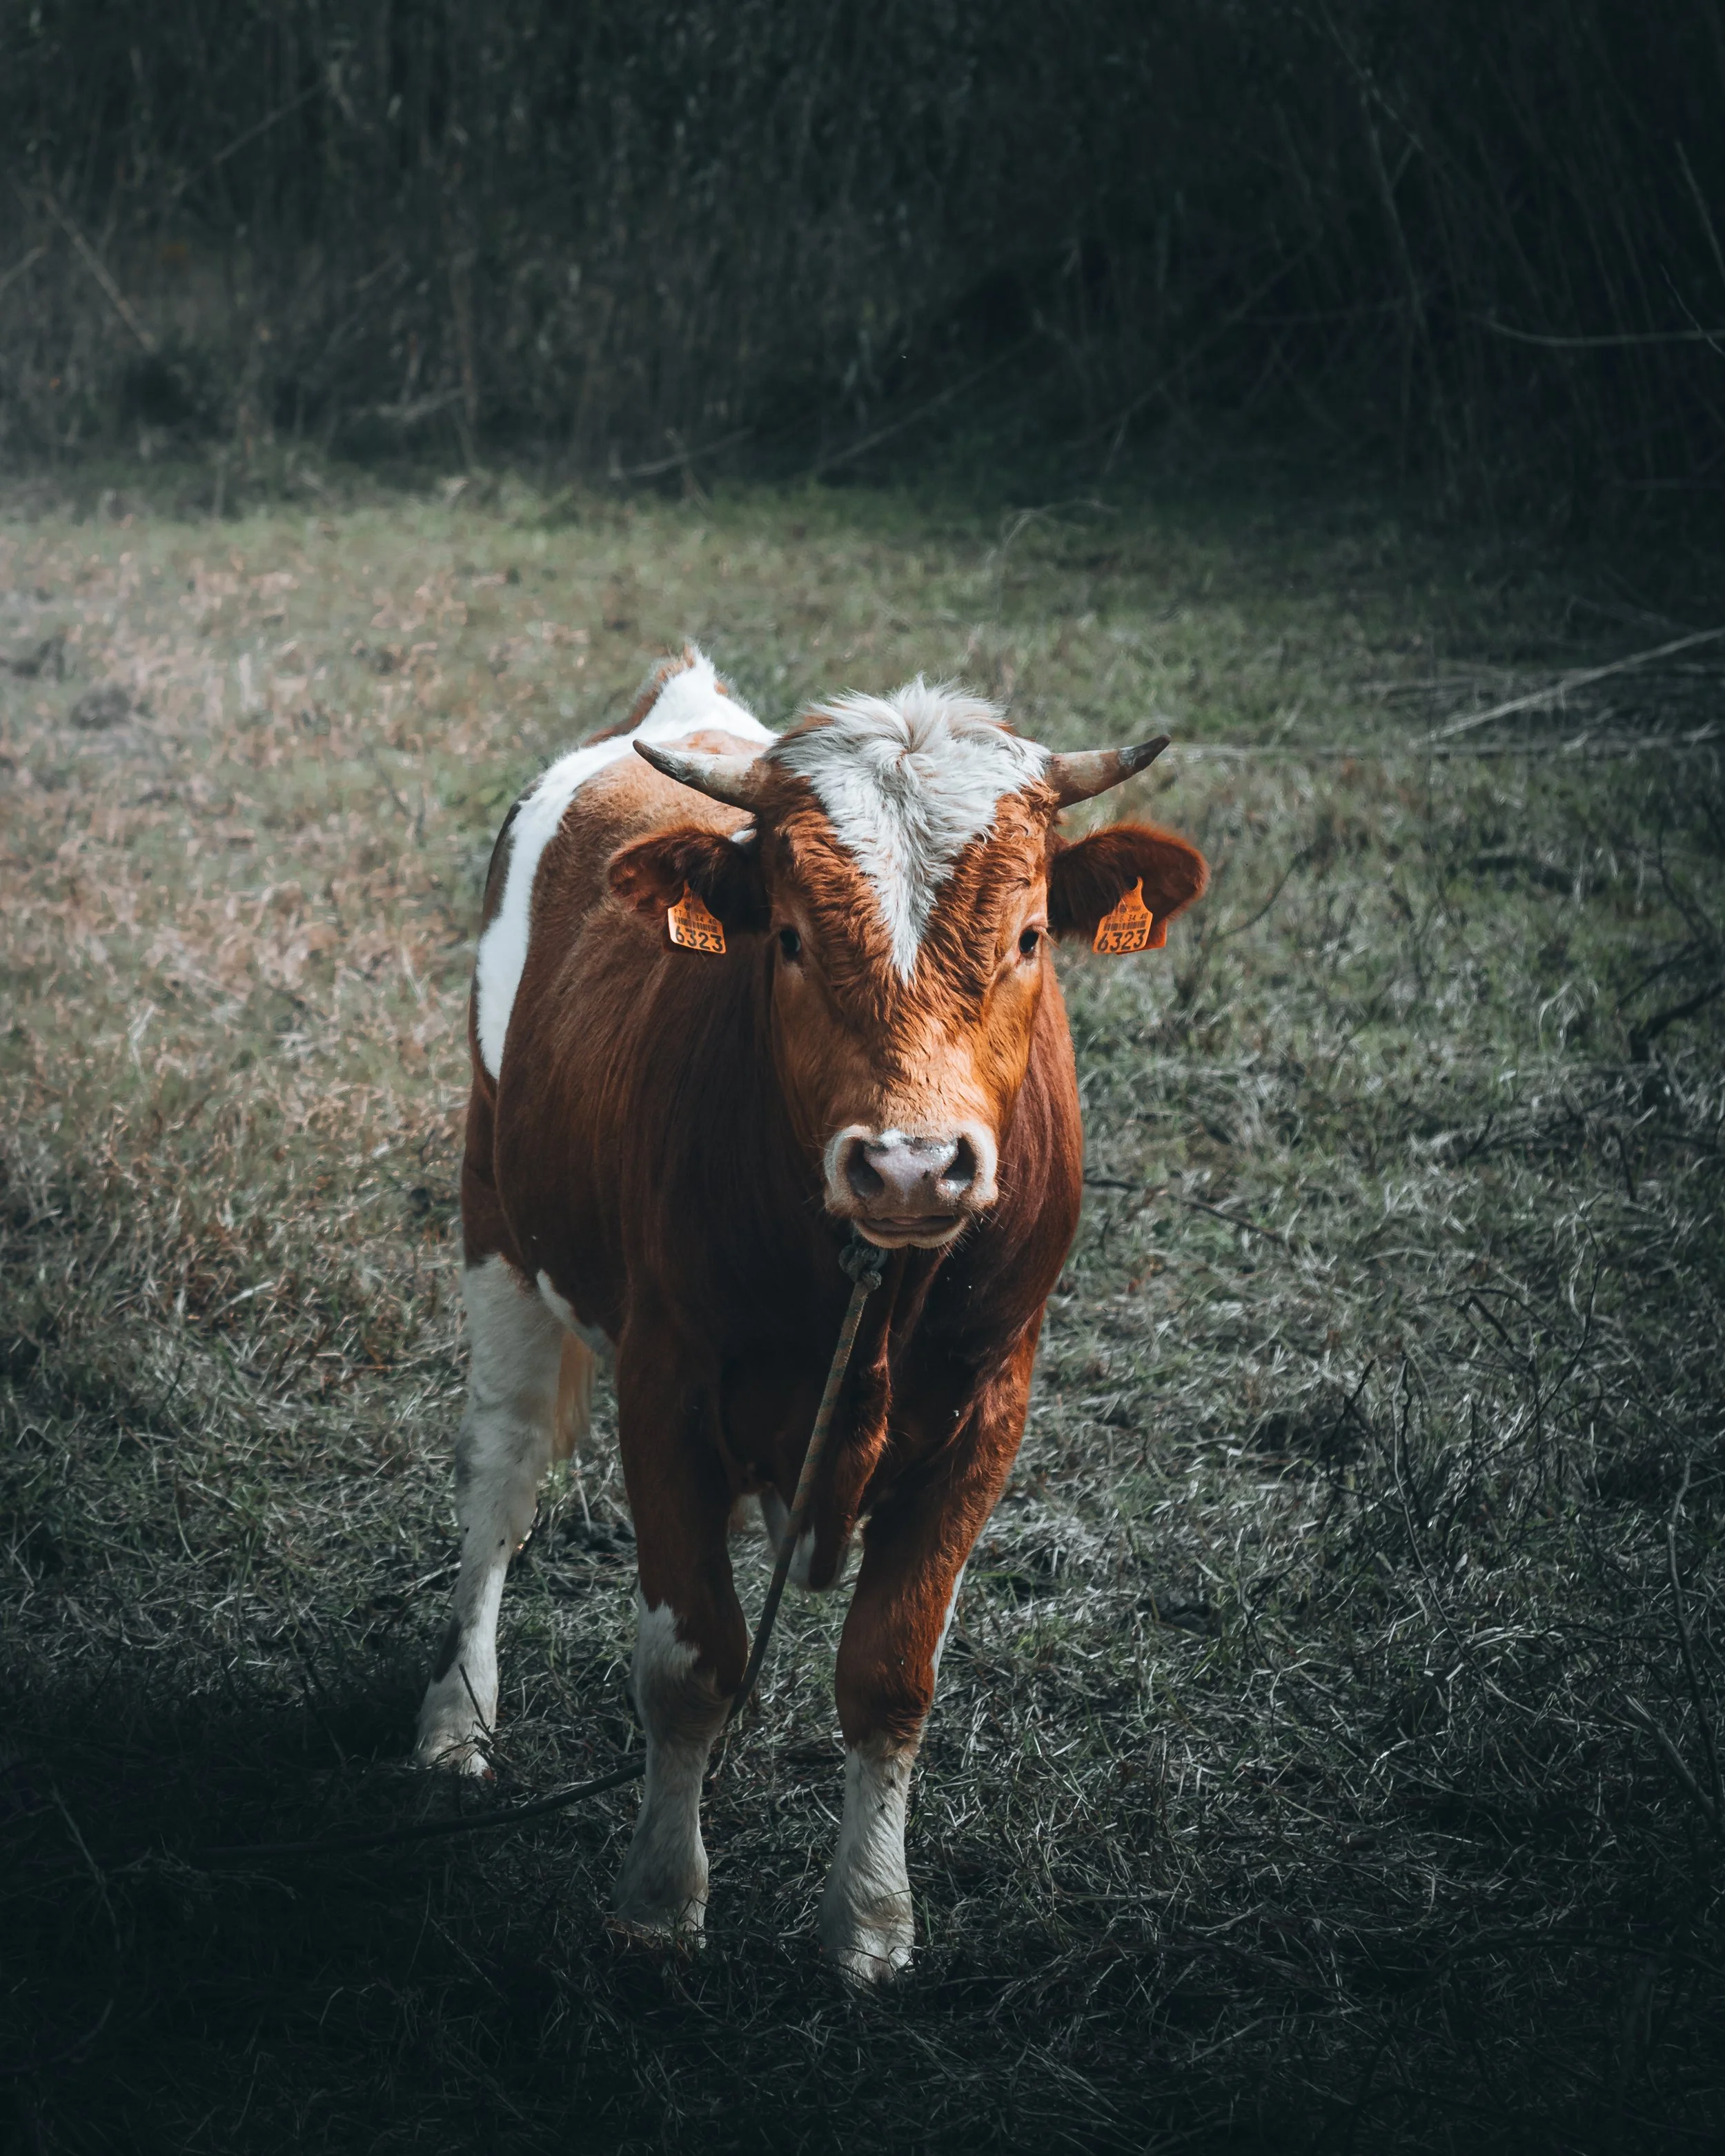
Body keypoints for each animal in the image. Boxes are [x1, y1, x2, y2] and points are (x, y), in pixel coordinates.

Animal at [414, 646, 1207, 1980]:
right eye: (785, 936)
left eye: (1031, 936)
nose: (909, 1167)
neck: (874, 1285)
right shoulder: (667, 1387)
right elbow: (689, 1661)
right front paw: (660, 1899)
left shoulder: (991, 1407)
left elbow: (890, 1672)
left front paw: (870, 1922)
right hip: (497, 1220)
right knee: (502, 1477)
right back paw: (457, 1719)